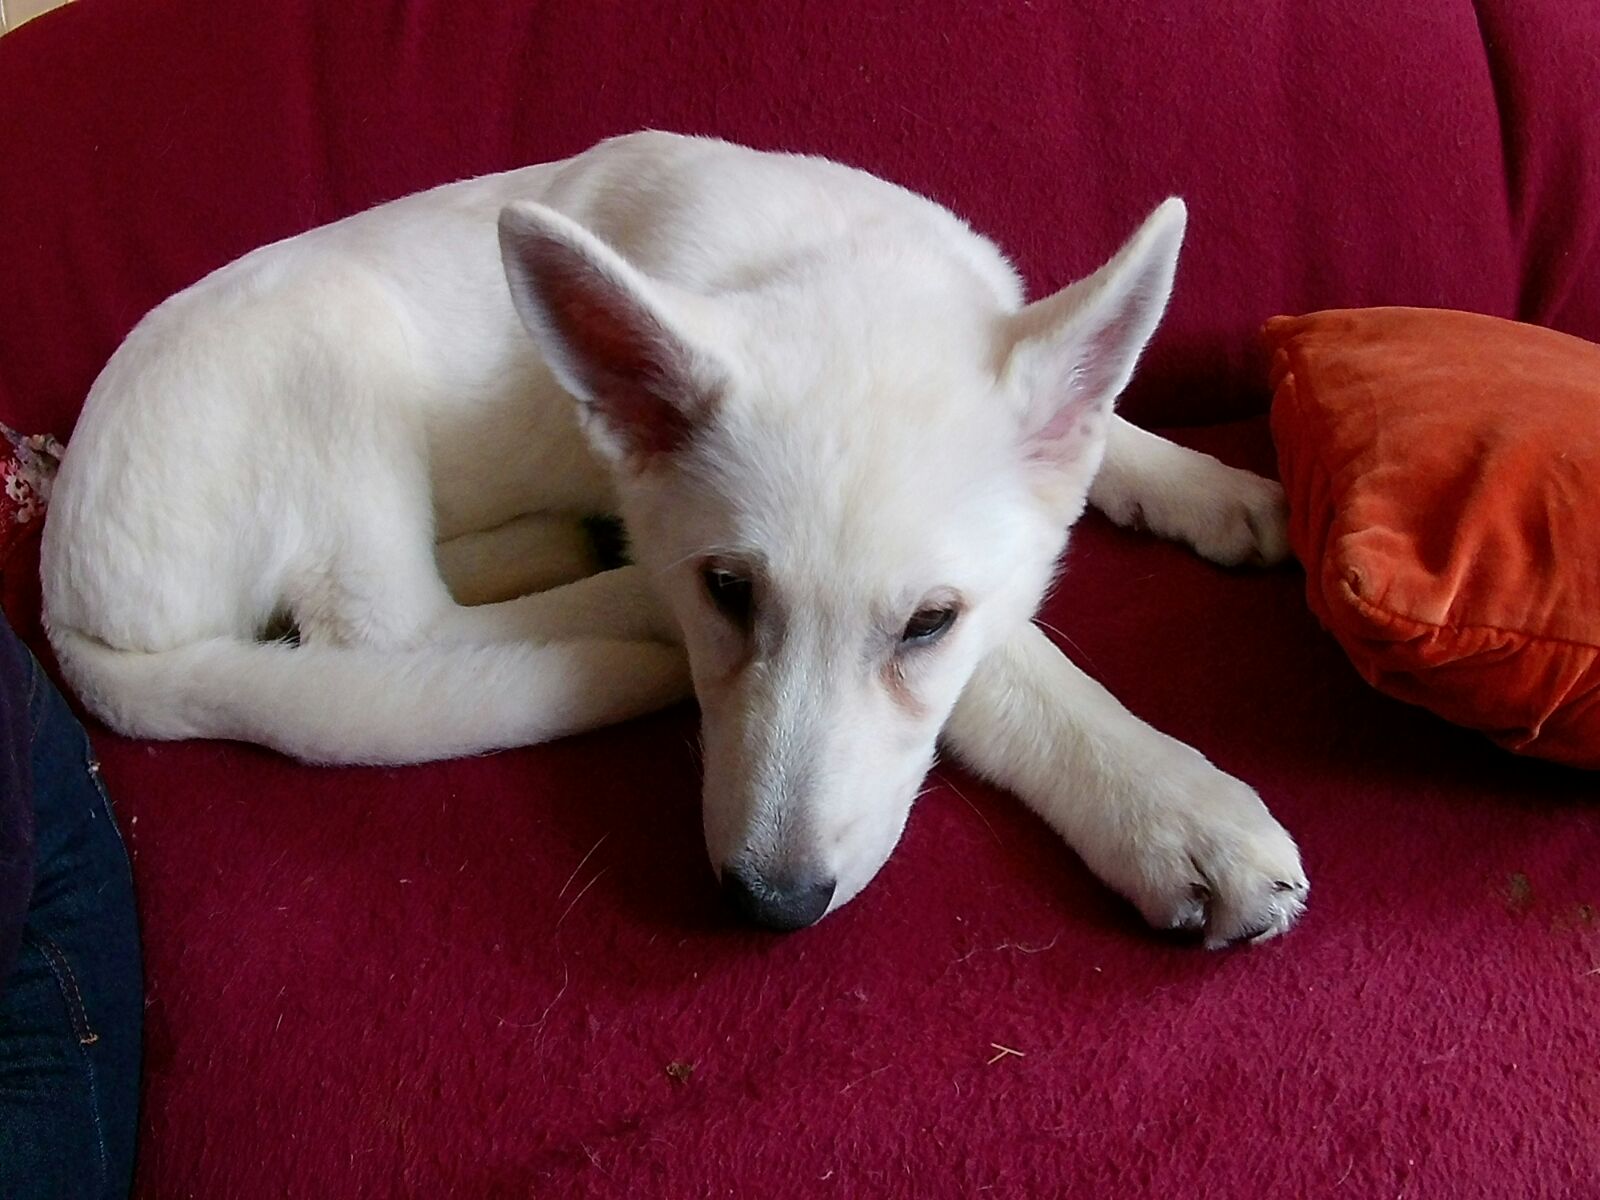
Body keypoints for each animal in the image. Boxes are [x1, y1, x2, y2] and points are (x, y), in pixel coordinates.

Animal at [42, 131, 1307, 944]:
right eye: (729, 593)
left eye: (924, 622)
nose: (768, 908)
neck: (834, 266)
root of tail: (67, 608)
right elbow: (1022, 674)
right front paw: (1170, 806)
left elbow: (1104, 426)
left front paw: (1216, 488)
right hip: (333, 344)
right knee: (382, 630)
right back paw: (604, 599)